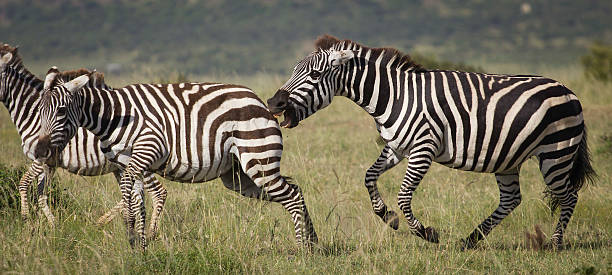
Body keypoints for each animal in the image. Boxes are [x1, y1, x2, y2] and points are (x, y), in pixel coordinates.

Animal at [0, 44, 167, 238]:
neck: (32, 114)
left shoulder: (40, 158)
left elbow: (24, 183)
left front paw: (27, 222)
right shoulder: (49, 162)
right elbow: (41, 194)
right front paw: (52, 226)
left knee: (158, 192)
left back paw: (150, 232)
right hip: (121, 167)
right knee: (134, 195)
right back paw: (104, 221)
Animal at [34, 68, 318, 251]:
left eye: (61, 111)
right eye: (39, 111)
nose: (40, 150)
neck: (114, 116)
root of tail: (260, 101)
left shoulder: (145, 151)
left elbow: (130, 195)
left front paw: (131, 232)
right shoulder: (129, 163)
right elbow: (139, 202)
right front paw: (139, 246)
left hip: (258, 159)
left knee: (291, 196)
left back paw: (301, 250)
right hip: (238, 176)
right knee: (295, 190)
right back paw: (313, 243)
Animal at [268, 34, 592, 250]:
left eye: (314, 74)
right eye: (294, 70)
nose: (274, 102)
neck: (393, 97)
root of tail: (568, 90)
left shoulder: (423, 148)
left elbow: (403, 196)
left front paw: (426, 233)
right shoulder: (396, 147)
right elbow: (369, 176)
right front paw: (388, 217)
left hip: (556, 153)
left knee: (569, 196)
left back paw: (554, 244)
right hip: (508, 158)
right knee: (512, 199)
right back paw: (469, 240)